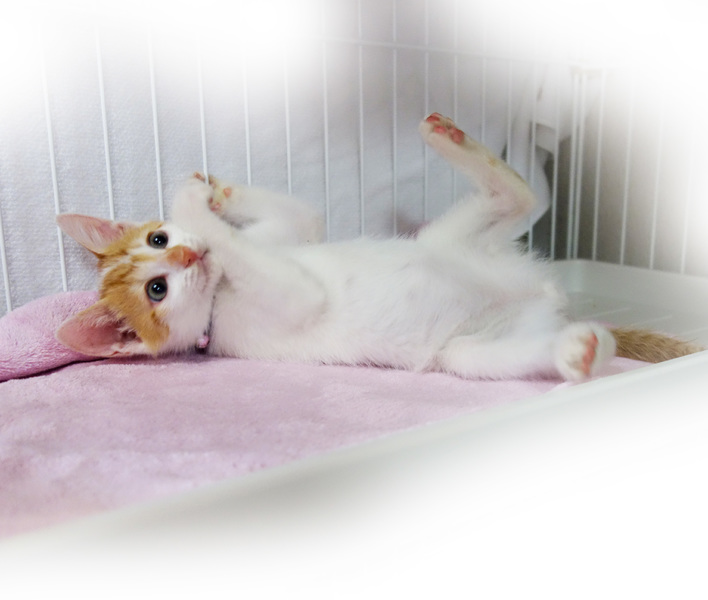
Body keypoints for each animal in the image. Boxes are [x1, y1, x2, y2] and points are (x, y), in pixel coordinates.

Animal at [55, 113, 702, 381]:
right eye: (157, 289)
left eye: (158, 239)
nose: (188, 257)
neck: (223, 288)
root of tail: (549, 299)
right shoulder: (284, 299)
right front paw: (194, 200)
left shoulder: (291, 235)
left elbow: (304, 214)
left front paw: (212, 191)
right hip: (465, 353)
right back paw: (579, 352)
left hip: (448, 240)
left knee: (519, 196)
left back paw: (451, 139)